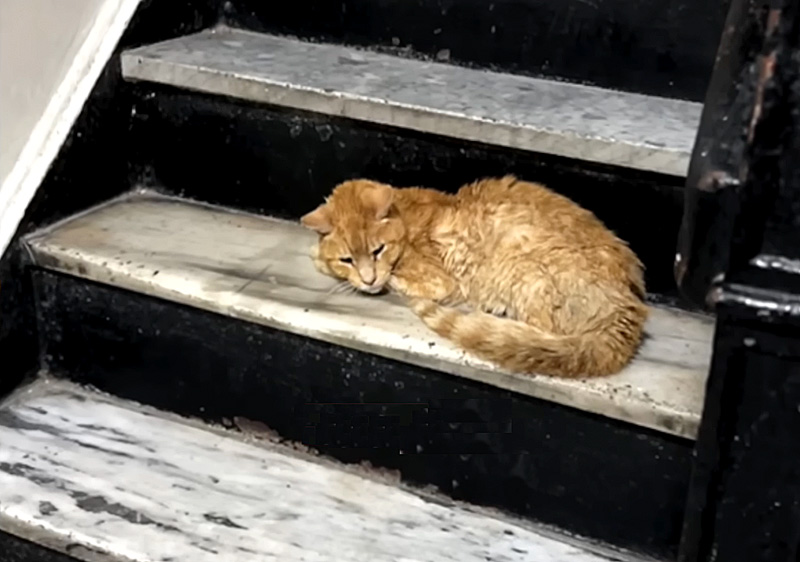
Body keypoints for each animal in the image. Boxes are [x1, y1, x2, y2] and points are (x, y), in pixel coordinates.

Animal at [302, 175, 648, 376]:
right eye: (347, 259)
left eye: (378, 250)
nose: (368, 279)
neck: (406, 222)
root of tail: (627, 308)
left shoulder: (438, 280)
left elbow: (401, 281)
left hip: (521, 264)